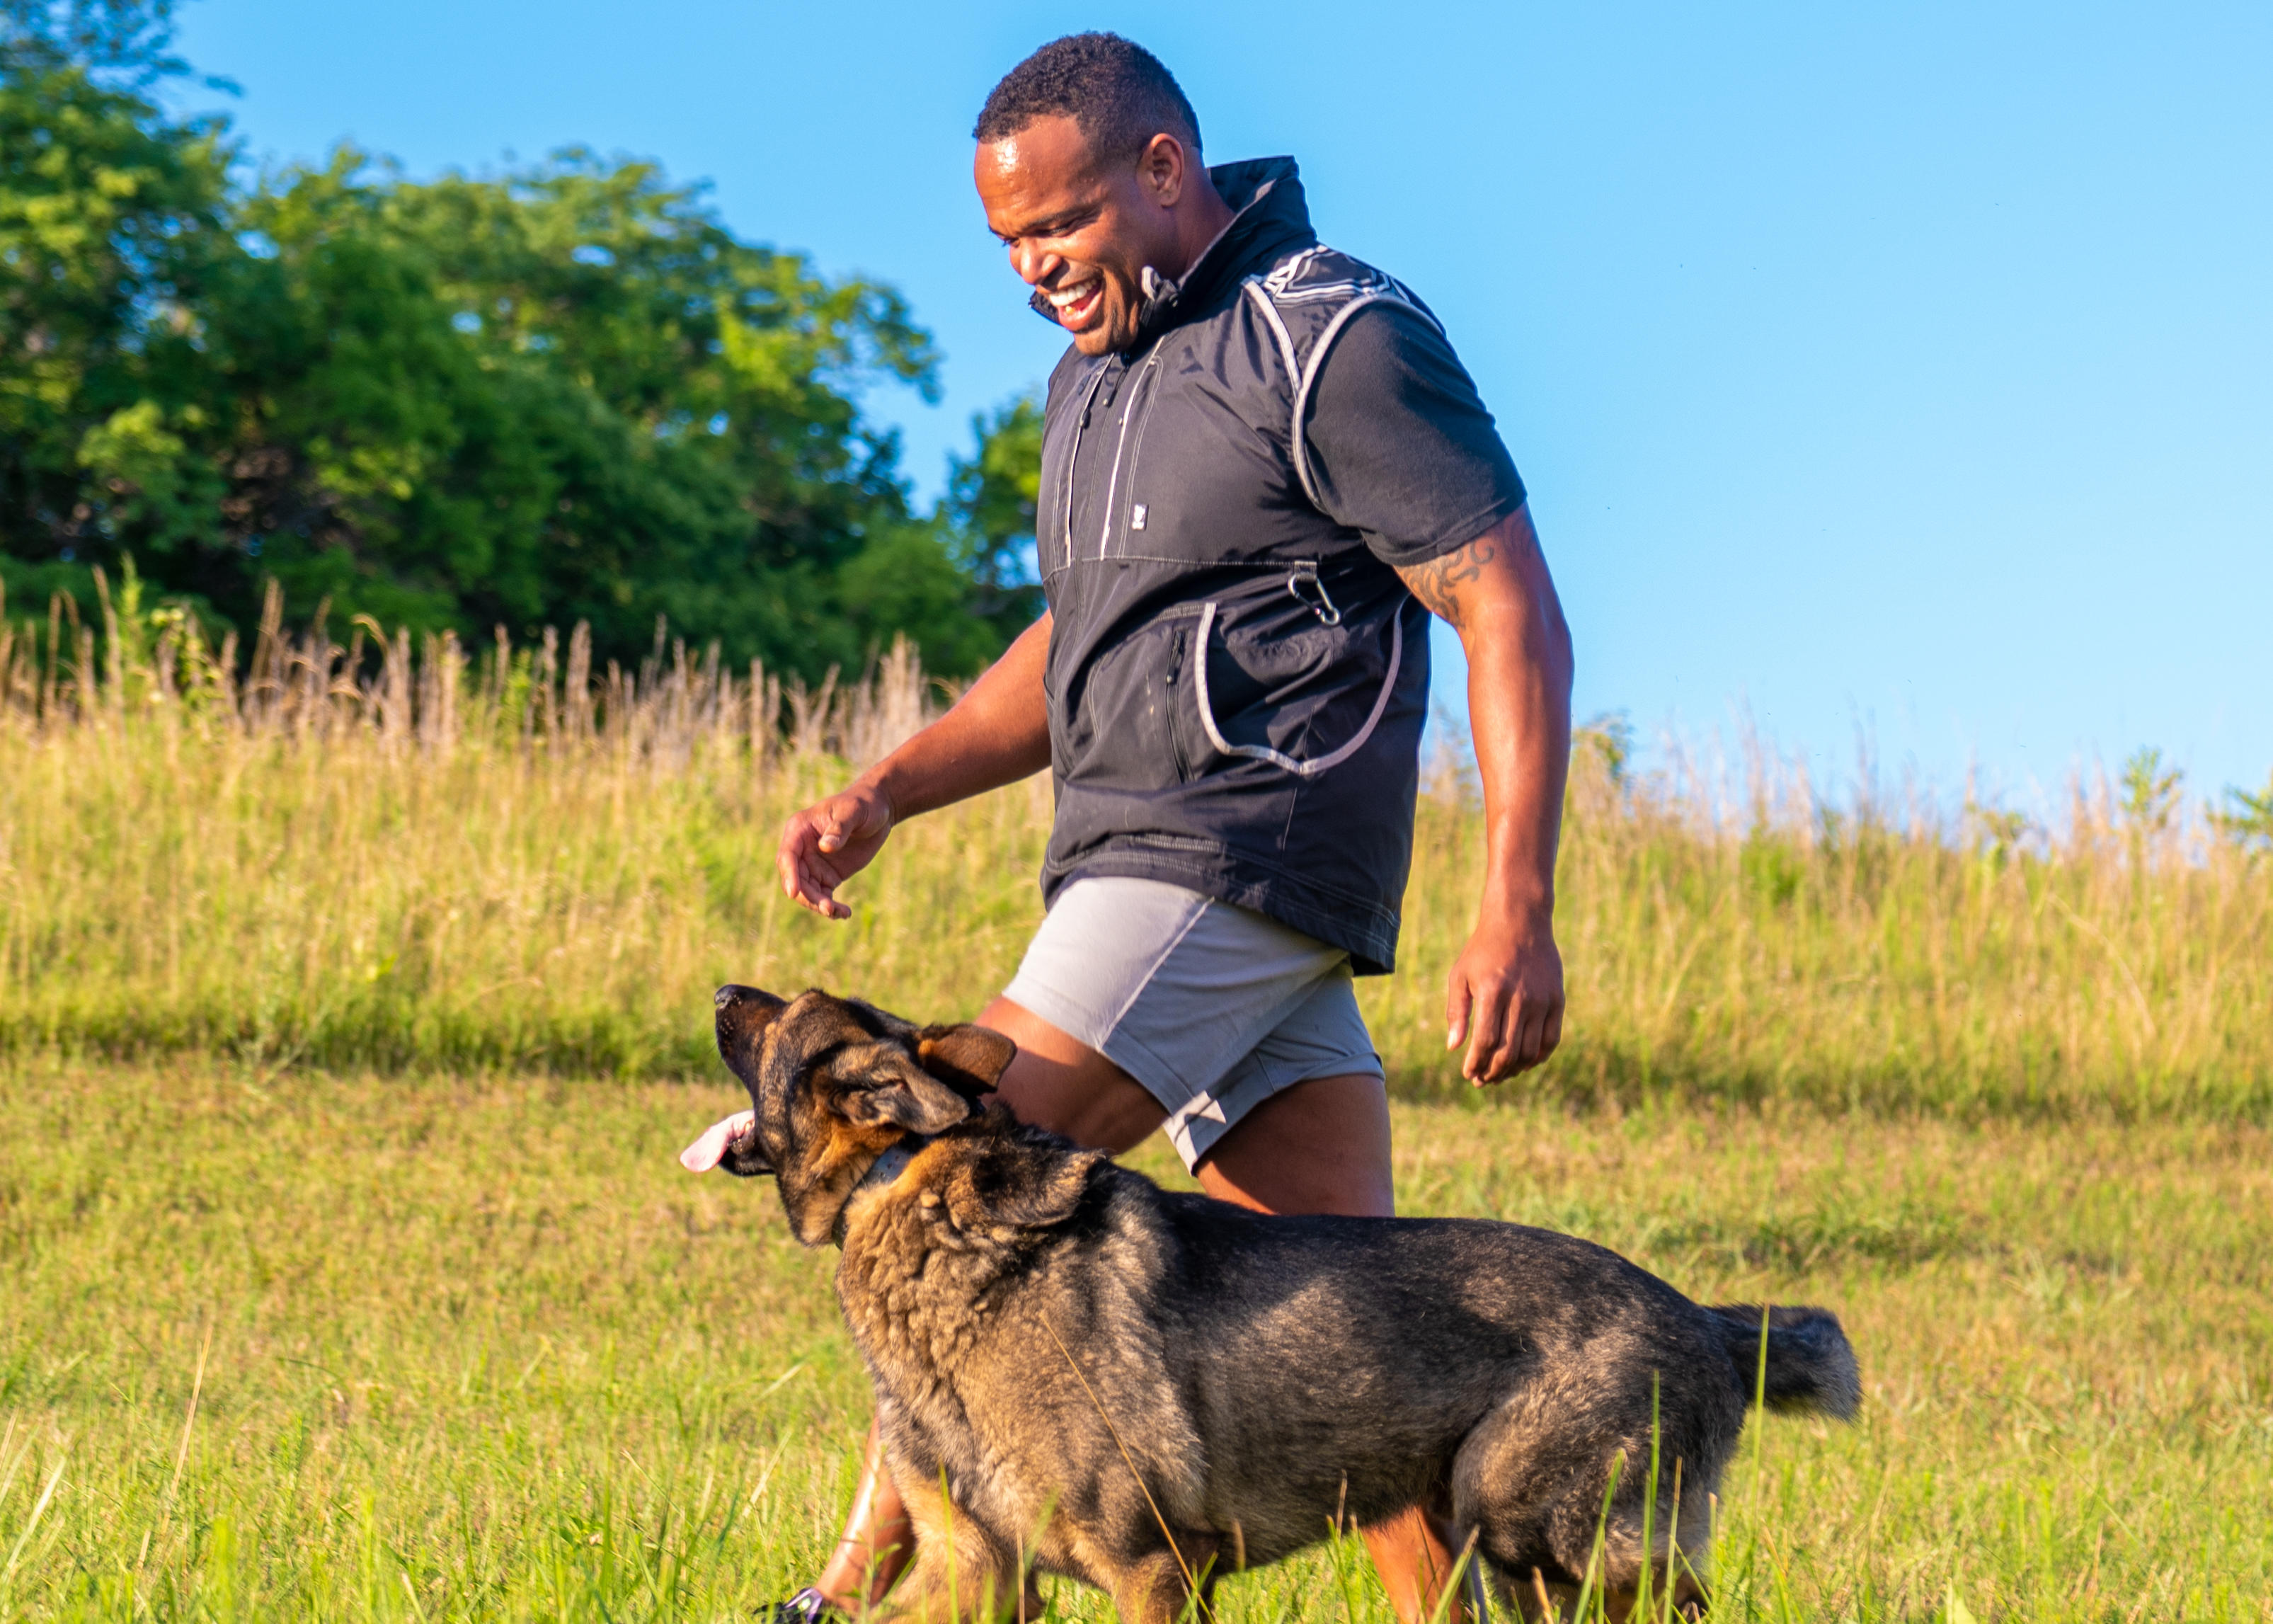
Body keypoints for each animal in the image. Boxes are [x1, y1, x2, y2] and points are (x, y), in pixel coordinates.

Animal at [709, 982, 1864, 1610]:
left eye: (783, 1016)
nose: (722, 992)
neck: (910, 1187)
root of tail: (1704, 1317)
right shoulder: (973, 1573)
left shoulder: (1156, 1567)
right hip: (1512, 1554)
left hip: (1538, 1527)